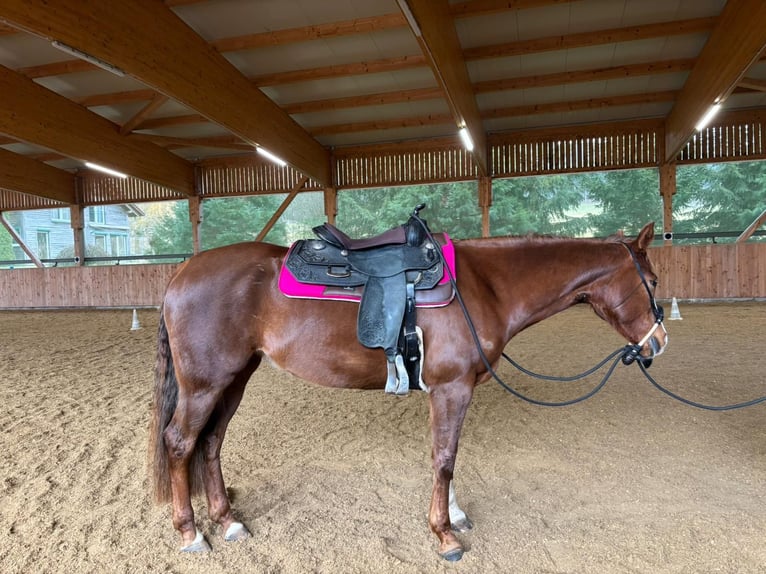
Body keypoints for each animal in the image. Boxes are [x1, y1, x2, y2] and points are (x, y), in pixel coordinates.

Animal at [149, 220, 667, 561]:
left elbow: (450, 455)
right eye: (654, 280)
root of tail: (181, 274)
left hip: (234, 379)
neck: (484, 286)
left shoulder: (458, 390)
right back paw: (191, 533)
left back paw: (228, 520)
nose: (658, 343)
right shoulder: (450, 388)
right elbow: (444, 457)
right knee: (180, 442)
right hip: (205, 384)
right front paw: (445, 536)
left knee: (211, 443)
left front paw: (454, 515)